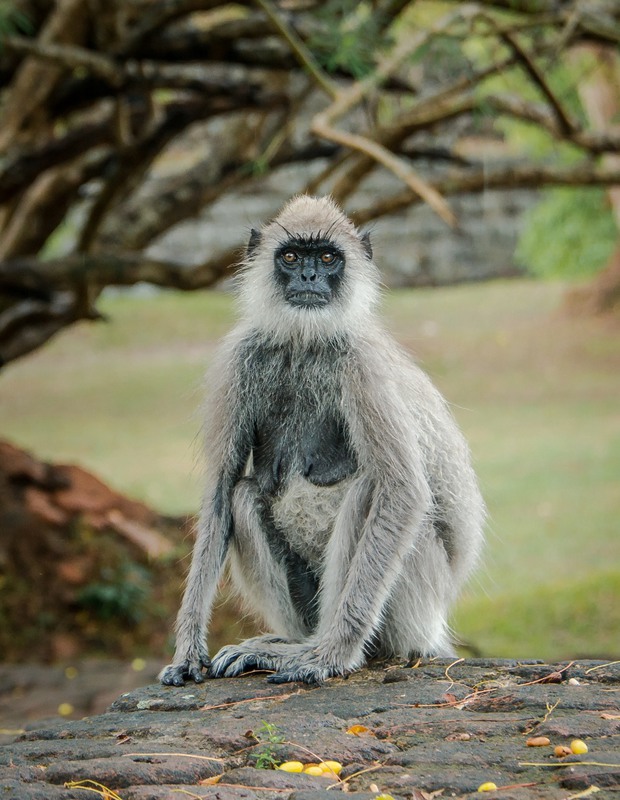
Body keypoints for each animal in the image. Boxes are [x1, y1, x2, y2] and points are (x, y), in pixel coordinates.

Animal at [160, 195, 484, 688]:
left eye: (328, 258)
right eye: (292, 257)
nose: (309, 278)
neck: (303, 341)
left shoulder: (363, 363)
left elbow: (403, 492)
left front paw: (331, 657)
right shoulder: (240, 358)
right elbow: (220, 488)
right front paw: (187, 650)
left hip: (411, 608)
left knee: (371, 490)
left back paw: (325, 649)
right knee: (243, 494)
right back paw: (289, 643)